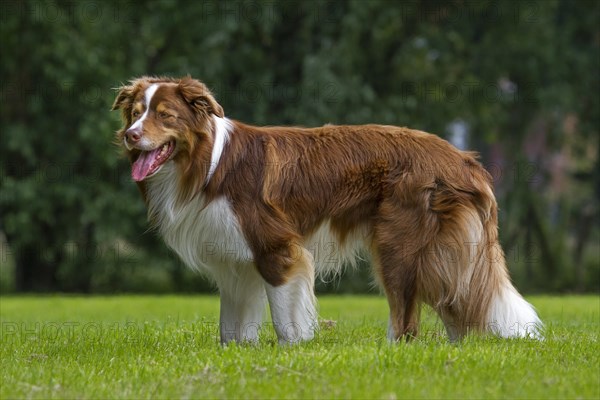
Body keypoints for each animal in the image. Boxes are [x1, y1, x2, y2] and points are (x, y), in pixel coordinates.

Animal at [112, 77, 544, 344]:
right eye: (135, 113)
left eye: (165, 116)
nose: (131, 135)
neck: (207, 165)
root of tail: (464, 160)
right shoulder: (235, 260)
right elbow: (232, 328)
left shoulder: (276, 249)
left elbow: (286, 321)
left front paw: (293, 352)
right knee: (455, 305)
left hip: (399, 247)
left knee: (407, 321)